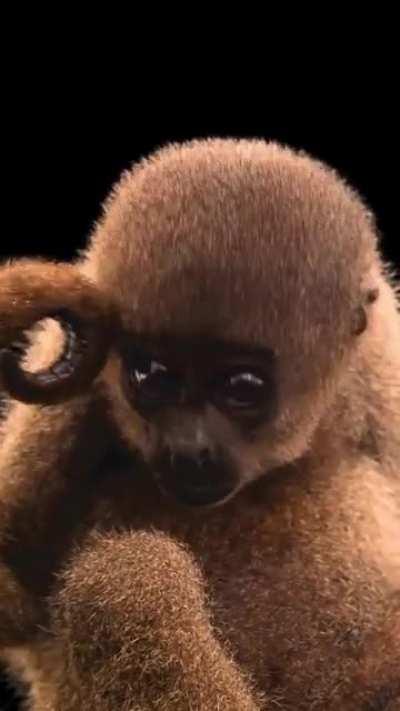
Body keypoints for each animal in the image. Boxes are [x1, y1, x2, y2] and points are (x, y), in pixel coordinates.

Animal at [0, 138, 399, 710]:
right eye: (151, 375)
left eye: (243, 388)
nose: (190, 449)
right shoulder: (79, 397)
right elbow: (16, 601)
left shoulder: (383, 380)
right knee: (121, 581)